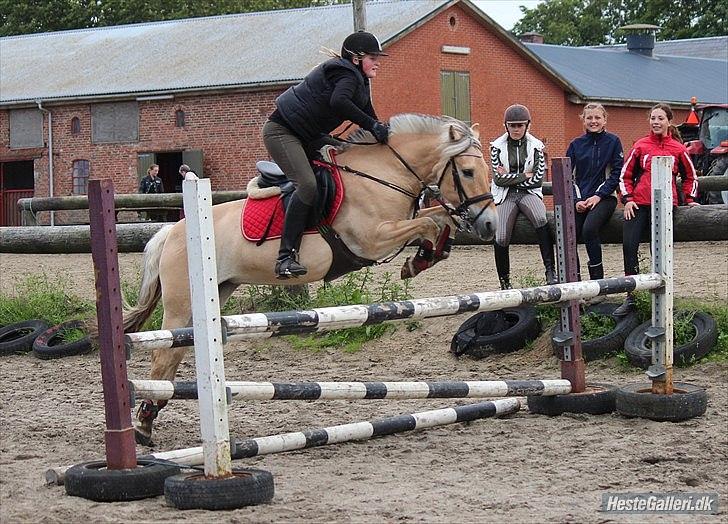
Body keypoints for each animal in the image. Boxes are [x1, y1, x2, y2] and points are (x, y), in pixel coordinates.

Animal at [128, 113, 498, 442]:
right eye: (467, 172)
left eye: (489, 171)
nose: (489, 225)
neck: (381, 174)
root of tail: (172, 231)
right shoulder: (373, 239)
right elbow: (428, 222)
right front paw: (421, 258)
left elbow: (436, 219)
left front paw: (425, 256)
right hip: (181, 302)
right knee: (162, 358)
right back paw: (144, 422)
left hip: (218, 291)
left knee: (175, 353)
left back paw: (152, 411)